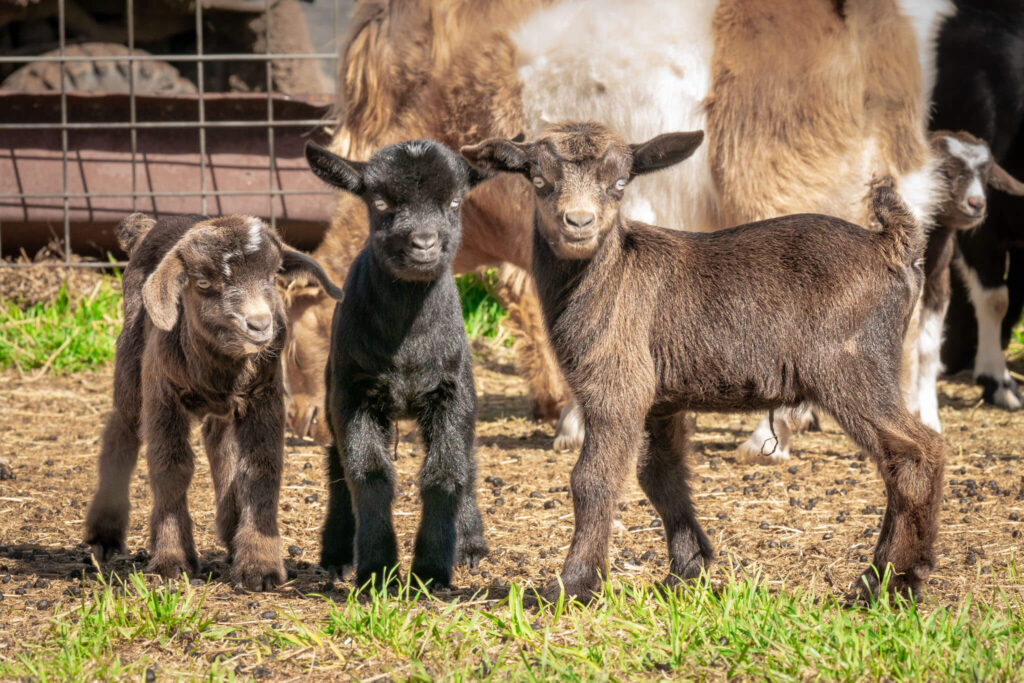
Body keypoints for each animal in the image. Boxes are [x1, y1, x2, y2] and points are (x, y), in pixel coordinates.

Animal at [84, 213, 342, 590]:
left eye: (273, 275)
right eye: (204, 281)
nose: (260, 324)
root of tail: (148, 227)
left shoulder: (263, 397)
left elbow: (260, 469)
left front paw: (260, 566)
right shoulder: (163, 397)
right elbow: (170, 468)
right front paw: (173, 560)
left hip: (226, 408)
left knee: (220, 445)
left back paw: (232, 530)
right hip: (132, 364)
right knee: (122, 431)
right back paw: (104, 534)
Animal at [304, 139, 489, 589]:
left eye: (455, 201)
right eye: (380, 201)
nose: (423, 242)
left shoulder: (452, 392)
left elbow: (446, 473)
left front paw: (432, 572)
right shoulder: (352, 393)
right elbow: (368, 473)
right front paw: (376, 571)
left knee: (468, 460)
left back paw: (470, 545)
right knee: (337, 465)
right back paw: (337, 555)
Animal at [463, 121, 946, 602]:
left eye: (619, 183)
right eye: (538, 180)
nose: (579, 222)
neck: (607, 277)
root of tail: (892, 245)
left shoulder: (618, 385)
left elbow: (592, 478)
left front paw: (573, 584)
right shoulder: (660, 401)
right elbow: (661, 476)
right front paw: (686, 569)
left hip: (851, 364)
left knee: (915, 451)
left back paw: (890, 580)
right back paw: (899, 571)